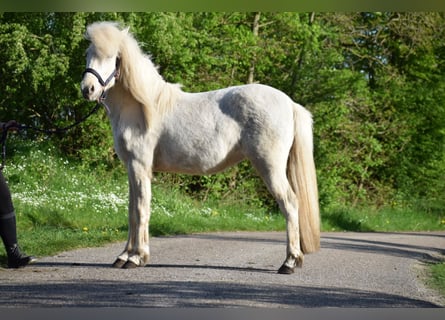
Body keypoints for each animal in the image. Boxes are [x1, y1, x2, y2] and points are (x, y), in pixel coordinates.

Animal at [79, 21, 316, 274]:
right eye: (88, 54)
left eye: (111, 57)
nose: (88, 89)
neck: (141, 108)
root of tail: (290, 103)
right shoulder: (132, 170)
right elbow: (132, 212)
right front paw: (124, 256)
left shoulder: (140, 167)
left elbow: (141, 211)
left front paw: (136, 258)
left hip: (270, 167)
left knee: (290, 204)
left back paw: (289, 262)